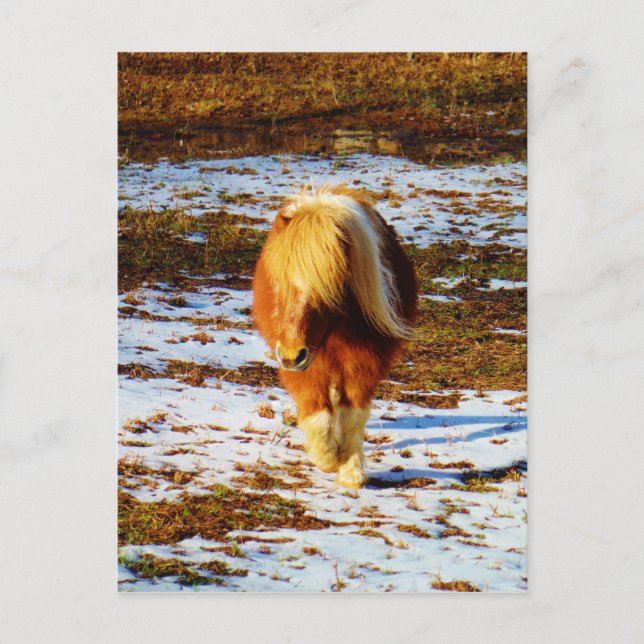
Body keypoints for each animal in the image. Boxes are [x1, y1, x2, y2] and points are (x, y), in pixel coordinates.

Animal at [252, 185, 418, 488]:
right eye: (279, 284)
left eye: (329, 289)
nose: (292, 355)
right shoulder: (304, 365)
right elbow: (317, 413)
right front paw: (327, 457)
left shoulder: (365, 363)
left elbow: (352, 416)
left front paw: (351, 471)